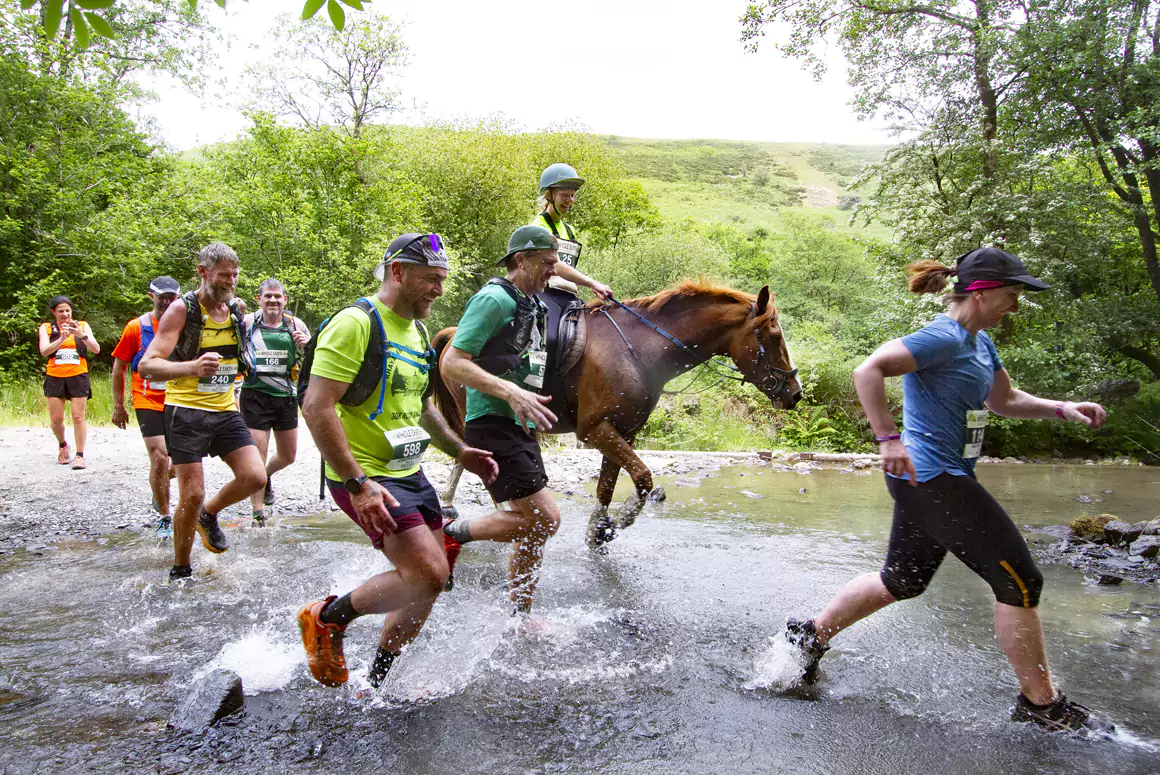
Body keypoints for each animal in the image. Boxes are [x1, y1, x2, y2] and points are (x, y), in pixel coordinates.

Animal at [428, 278, 803, 547]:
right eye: (773, 336)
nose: (795, 394)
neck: (641, 348)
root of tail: (454, 336)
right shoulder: (596, 430)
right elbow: (643, 477)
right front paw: (623, 518)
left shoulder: (622, 431)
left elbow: (607, 486)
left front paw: (598, 529)